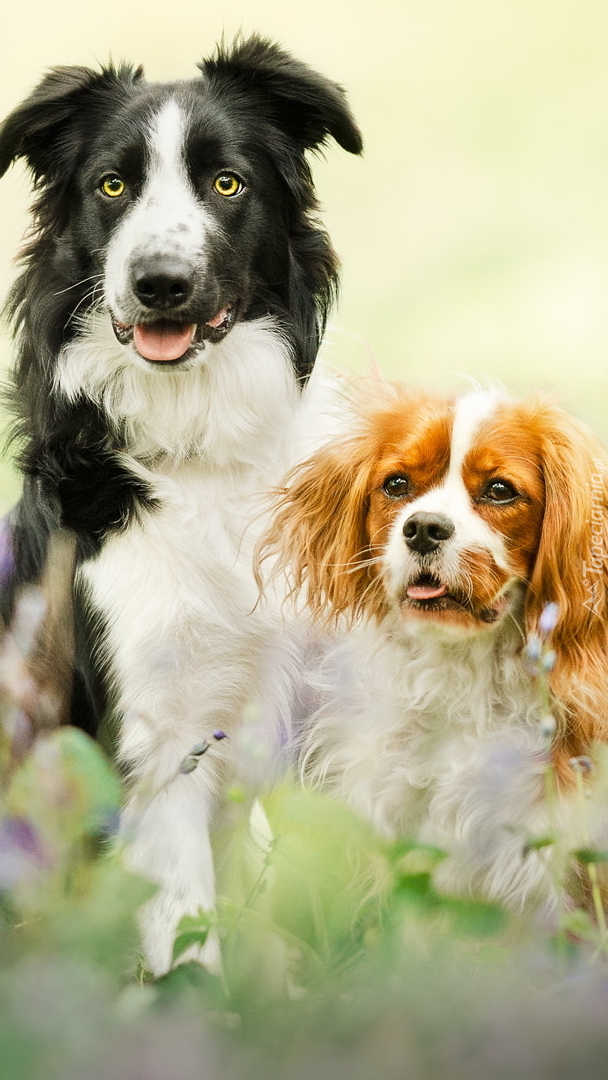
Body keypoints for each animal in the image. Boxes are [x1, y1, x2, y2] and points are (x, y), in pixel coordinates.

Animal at [0, 38, 360, 976]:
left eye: (227, 183)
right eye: (111, 186)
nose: (159, 283)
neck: (198, 449)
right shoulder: (154, 745)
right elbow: (186, 941)